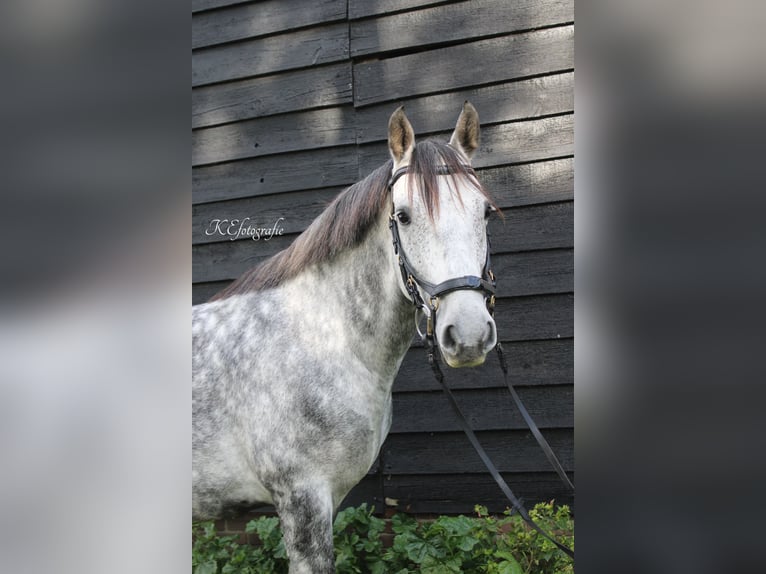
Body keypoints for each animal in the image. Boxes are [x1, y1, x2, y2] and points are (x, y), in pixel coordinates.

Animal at [195, 103, 500, 574]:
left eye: (484, 212)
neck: (319, 340)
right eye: (404, 215)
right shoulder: (302, 501)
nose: (467, 335)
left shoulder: (331, 498)